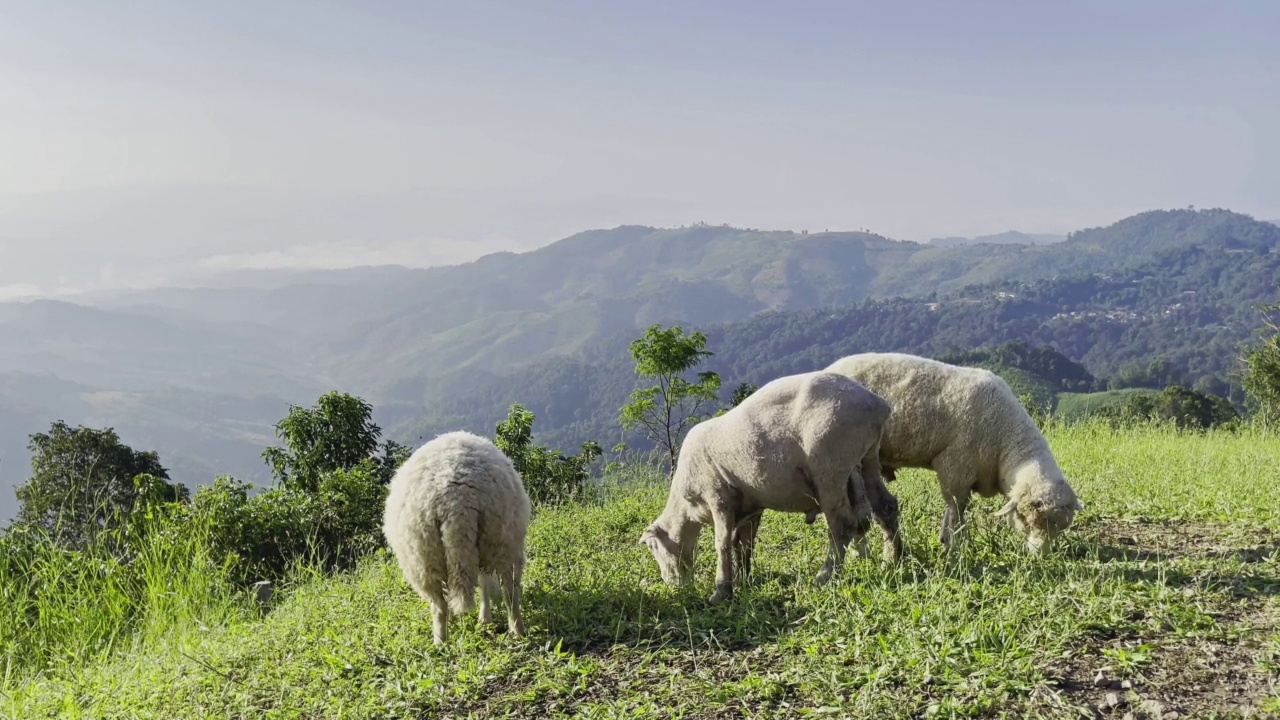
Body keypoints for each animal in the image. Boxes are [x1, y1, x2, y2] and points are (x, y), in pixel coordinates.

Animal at [378, 427, 529, 648]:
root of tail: (456, 500)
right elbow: (484, 581)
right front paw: (485, 619)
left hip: (425, 557)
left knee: (440, 605)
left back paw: (441, 642)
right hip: (499, 540)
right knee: (509, 591)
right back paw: (516, 630)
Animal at [634, 366, 896, 602]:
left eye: (652, 548)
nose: (673, 586)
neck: (688, 506)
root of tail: (877, 405)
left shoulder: (719, 498)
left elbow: (722, 545)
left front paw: (721, 591)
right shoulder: (750, 508)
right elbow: (743, 545)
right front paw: (744, 580)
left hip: (830, 467)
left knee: (842, 525)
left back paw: (824, 577)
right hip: (867, 457)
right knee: (886, 506)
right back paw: (893, 560)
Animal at [824, 351, 1085, 550]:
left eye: (1061, 528)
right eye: (1026, 520)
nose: (1039, 554)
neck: (1005, 440)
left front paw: (948, 541)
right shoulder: (955, 467)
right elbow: (956, 508)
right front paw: (954, 544)